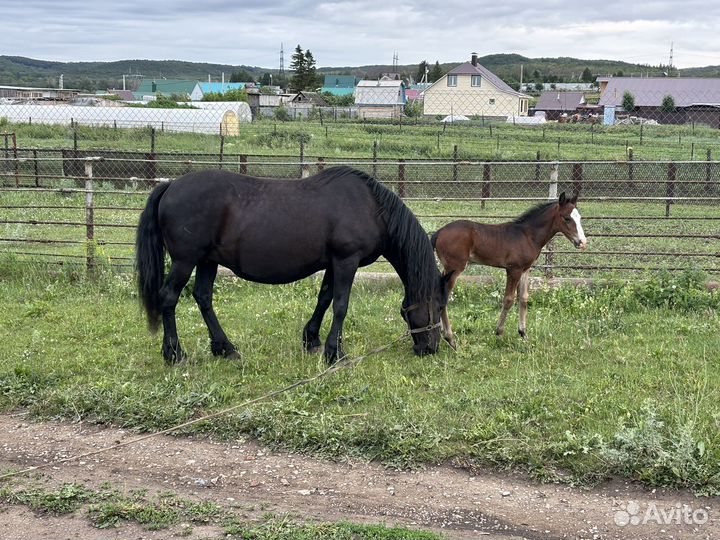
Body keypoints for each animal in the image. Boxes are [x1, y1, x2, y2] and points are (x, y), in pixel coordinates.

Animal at [135, 167, 450, 364]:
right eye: (438, 306)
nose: (432, 348)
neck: (372, 208)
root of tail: (171, 185)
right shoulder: (346, 261)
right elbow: (341, 305)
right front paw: (335, 353)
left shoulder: (334, 263)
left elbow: (324, 298)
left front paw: (312, 340)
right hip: (185, 261)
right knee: (169, 298)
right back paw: (175, 354)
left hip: (207, 261)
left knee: (203, 298)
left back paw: (225, 349)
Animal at [430, 193, 588, 346]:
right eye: (567, 218)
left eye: (579, 218)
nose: (582, 242)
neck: (528, 235)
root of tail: (439, 232)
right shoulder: (514, 270)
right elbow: (509, 299)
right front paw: (499, 333)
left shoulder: (525, 269)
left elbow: (523, 299)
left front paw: (523, 334)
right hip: (455, 268)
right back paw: (450, 338)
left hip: (447, 269)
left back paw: (442, 332)